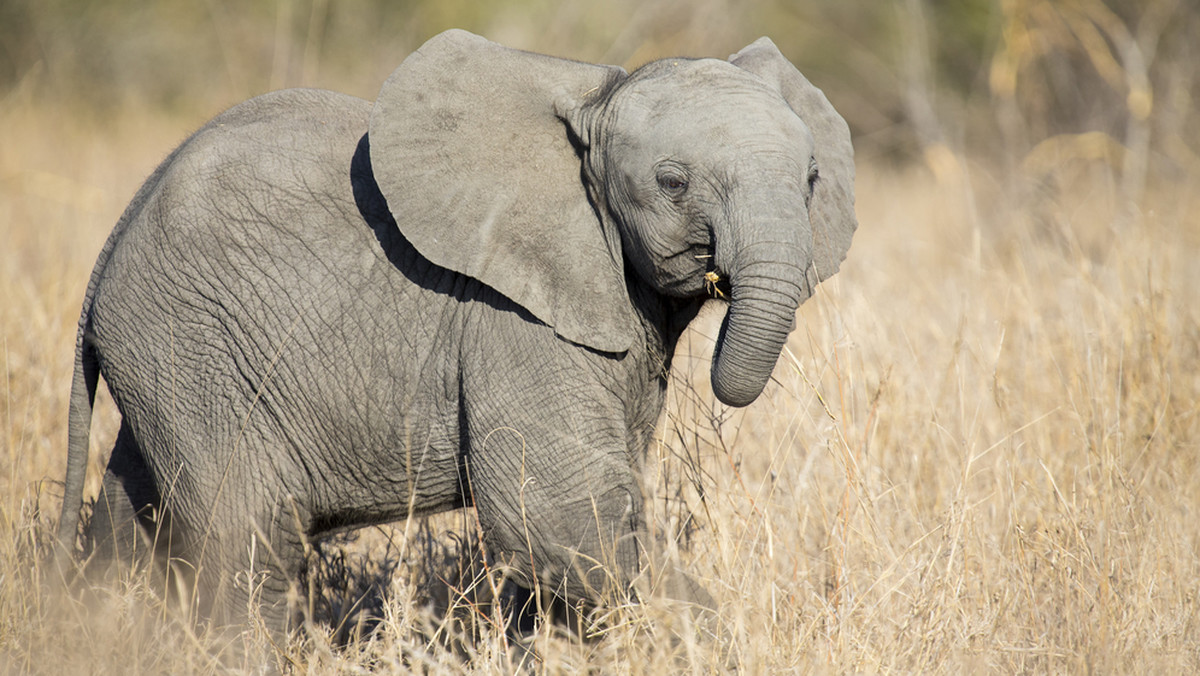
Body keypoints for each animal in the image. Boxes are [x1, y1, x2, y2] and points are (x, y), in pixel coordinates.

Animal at [58, 29, 854, 648]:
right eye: (672, 182)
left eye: (813, 178)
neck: (592, 106)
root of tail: (112, 245)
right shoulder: (512, 320)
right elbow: (560, 517)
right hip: (190, 342)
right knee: (247, 539)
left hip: (168, 357)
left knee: (134, 518)